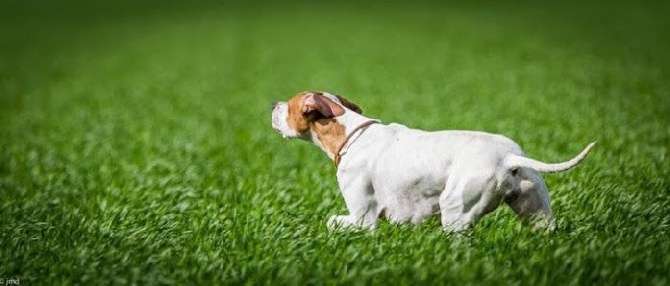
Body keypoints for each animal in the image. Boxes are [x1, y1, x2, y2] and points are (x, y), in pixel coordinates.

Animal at [270, 91, 596, 232]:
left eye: (290, 105)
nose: (273, 104)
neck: (351, 134)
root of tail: (507, 156)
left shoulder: (363, 218)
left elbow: (332, 221)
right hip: (536, 211)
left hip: (455, 210)